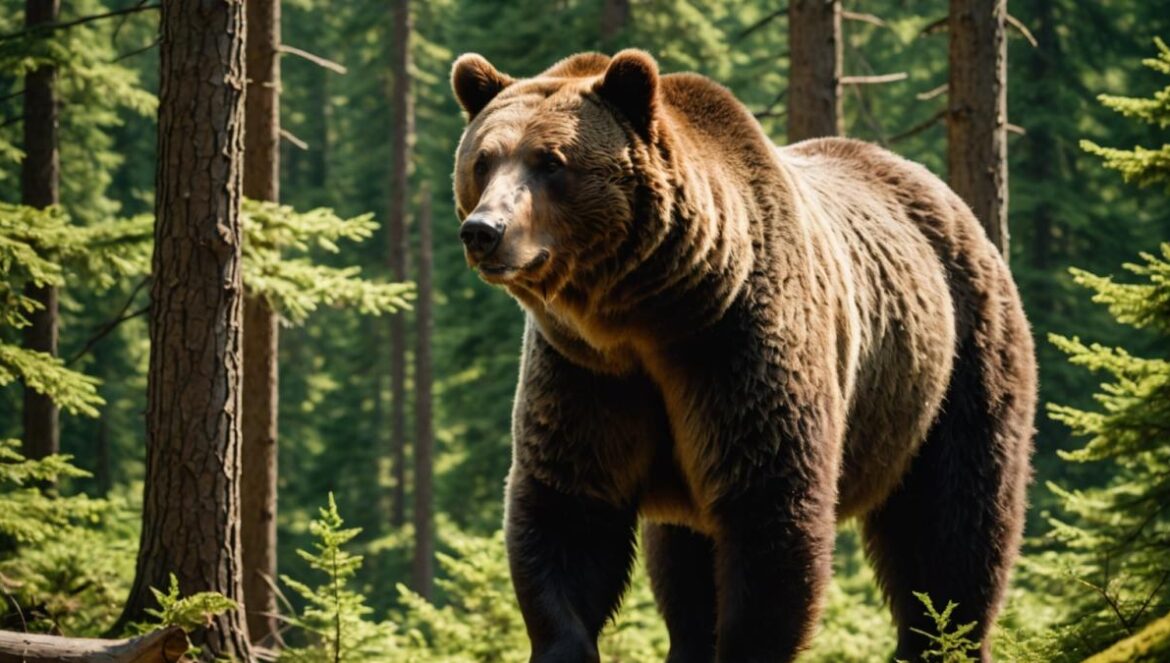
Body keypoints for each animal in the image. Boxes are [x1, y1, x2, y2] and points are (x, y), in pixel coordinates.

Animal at [449, 49, 1036, 663]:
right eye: (483, 161)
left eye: (551, 161)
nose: (483, 230)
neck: (644, 317)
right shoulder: (586, 371)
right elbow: (570, 508)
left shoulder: (734, 349)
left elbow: (769, 516)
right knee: (683, 563)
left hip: (954, 367)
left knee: (955, 526)